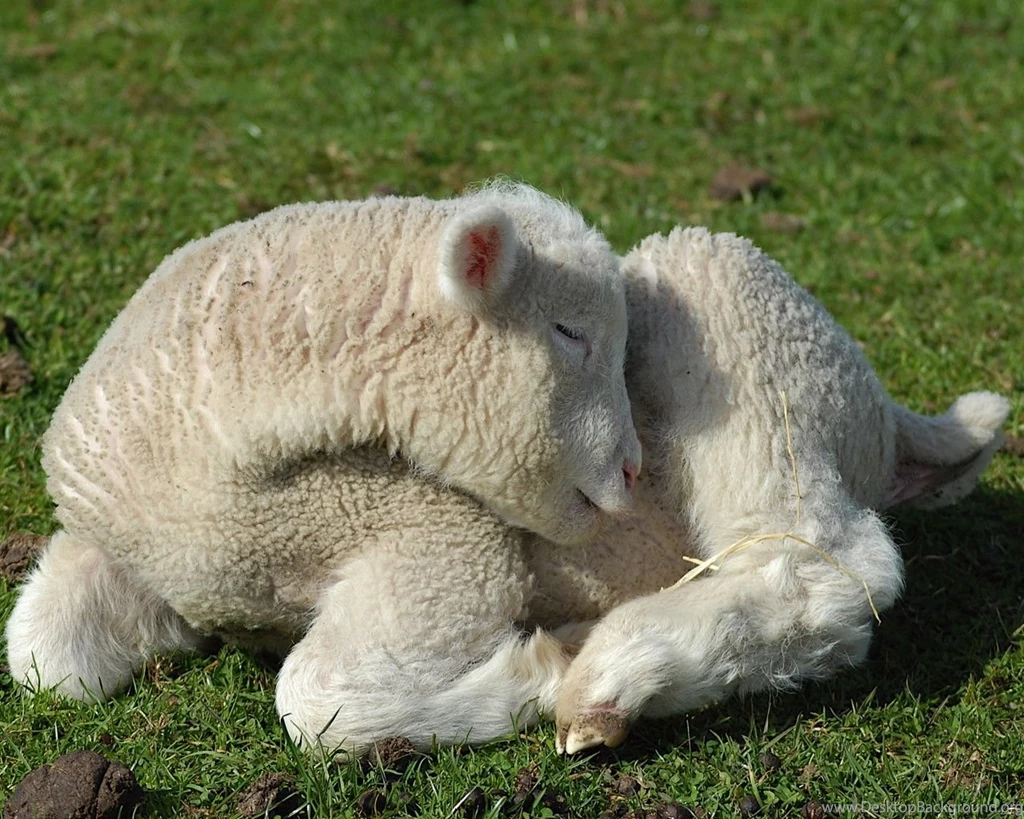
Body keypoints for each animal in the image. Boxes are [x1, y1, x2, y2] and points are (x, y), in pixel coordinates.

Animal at [4, 182, 642, 754]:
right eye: (570, 332)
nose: (634, 470)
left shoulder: (444, 545)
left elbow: (312, 705)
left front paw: (554, 661)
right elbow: (44, 660)